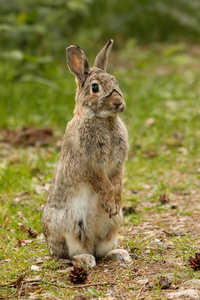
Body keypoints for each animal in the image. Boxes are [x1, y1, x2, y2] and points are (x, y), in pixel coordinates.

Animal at [41, 39, 130, 268]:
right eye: (95, 87)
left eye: (115, 81)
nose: (119, 104)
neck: (103, 120)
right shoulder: (88, 164)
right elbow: (103, 183)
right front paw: (110, 203)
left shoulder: (119, 164)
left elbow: (116, 181)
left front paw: (116, 202)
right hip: (70, 226)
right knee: (71, 254)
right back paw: (85, 259)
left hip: (113, 227)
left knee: (103, 250)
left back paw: (120, 254)